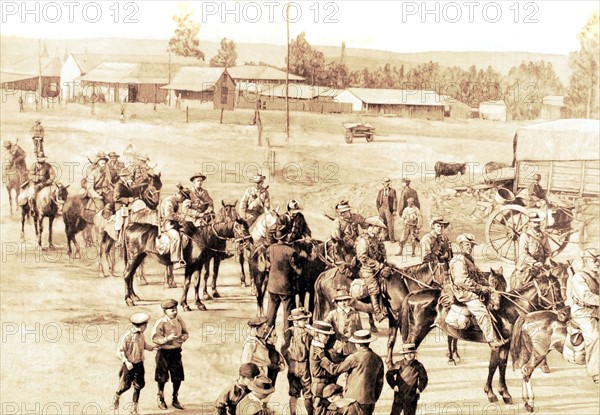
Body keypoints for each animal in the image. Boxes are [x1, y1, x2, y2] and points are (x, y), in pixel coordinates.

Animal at [400, 272, 564, 404]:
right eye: (556, 289)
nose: (564, 311)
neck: (512, 308)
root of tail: (413, 295)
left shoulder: (505, 344)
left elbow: (502, 366)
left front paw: (505, 394)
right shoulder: (496, 344)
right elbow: (492, 366)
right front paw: (490, 394)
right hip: (417, 332)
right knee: (408, 353)